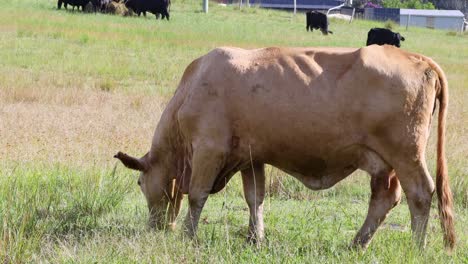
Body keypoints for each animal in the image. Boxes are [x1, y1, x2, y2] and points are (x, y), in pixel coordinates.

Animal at [115, 44, 456, 250]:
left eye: (139, 182)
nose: (156, 227)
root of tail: (418, 59)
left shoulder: (208, 150)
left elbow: (197, 195)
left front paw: (189, 234)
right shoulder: (250, 157)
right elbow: (255, 198)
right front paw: (255, 237)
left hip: (406, 155)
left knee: (420, 195)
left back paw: (417, 246)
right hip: (385, 163)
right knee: (384, 199)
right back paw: (357, 243)